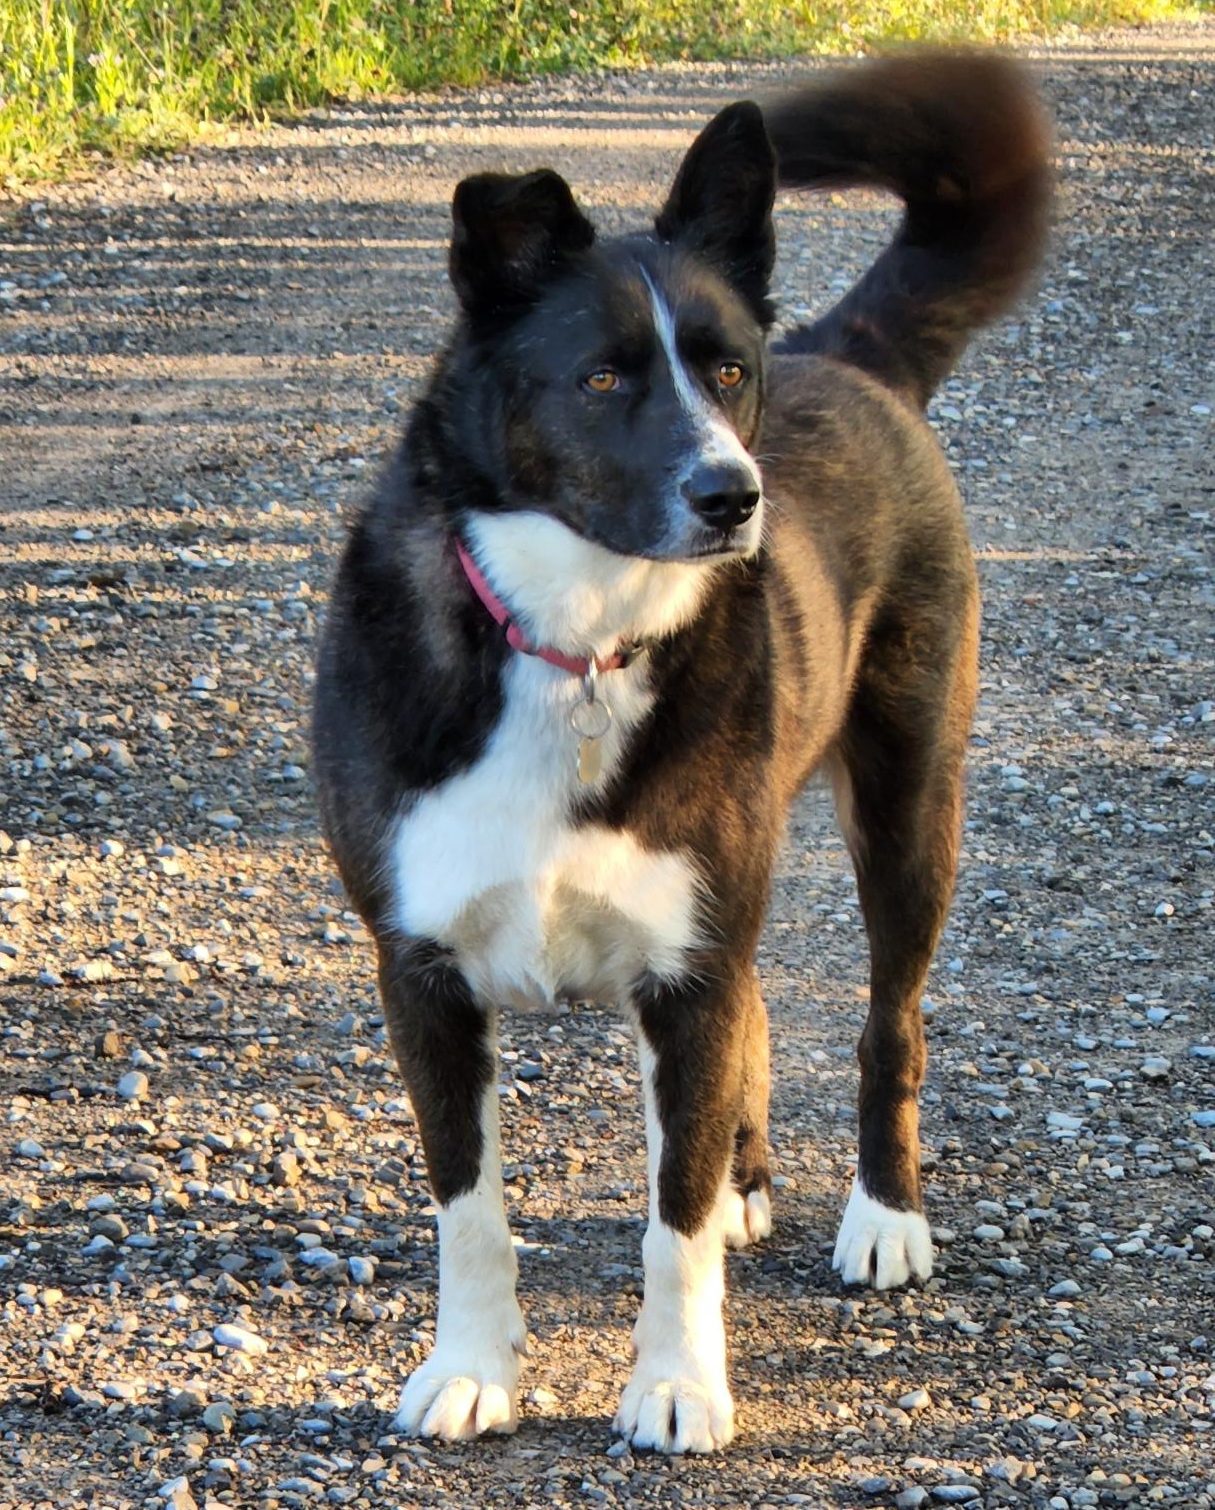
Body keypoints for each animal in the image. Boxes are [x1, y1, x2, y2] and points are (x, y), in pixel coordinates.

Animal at [312, 55, 1050, 1449]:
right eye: (603, 379)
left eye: (727, 370)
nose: (734, 495)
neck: (573, 642)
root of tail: (848, 357)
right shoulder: (422, 973)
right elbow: (469, 1207)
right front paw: (473, 1366)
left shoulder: (686, 971)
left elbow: (675, 1227)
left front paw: (676, 1382)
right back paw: (753, 1174)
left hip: (909, 804)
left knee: (892, 1022)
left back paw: (884, 1214)